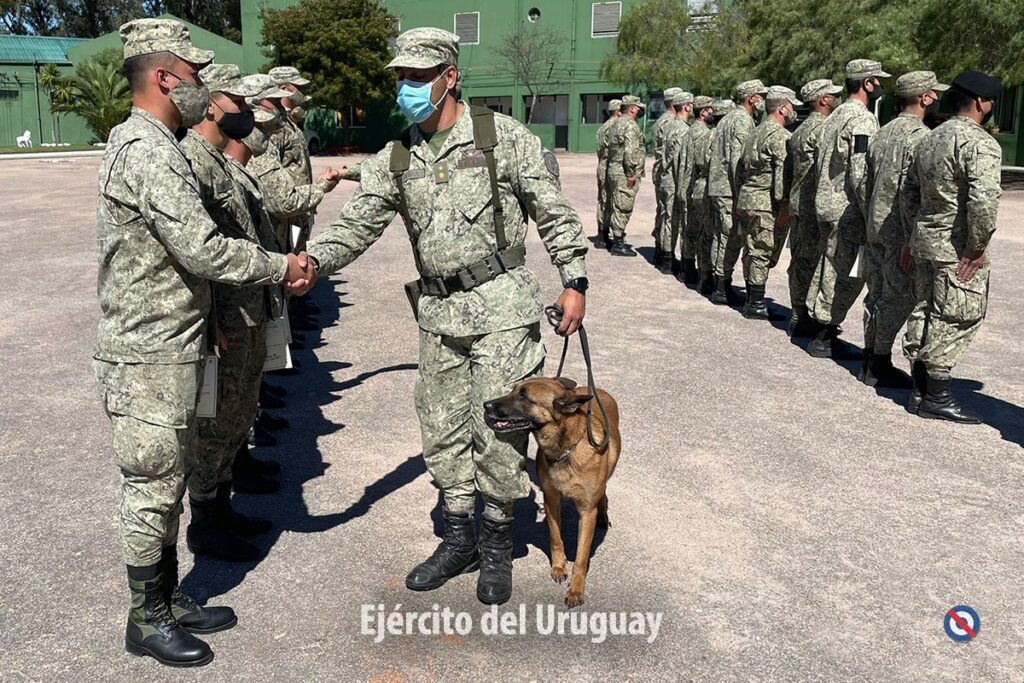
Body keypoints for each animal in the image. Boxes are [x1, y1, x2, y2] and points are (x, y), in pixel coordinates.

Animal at [484, 377, 620, 607]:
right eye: (513, 390)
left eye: (524, 396)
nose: (486, 404)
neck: (565, 449)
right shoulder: (550, 500)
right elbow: (556, 538)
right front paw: (558, 567)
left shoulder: (587, 512)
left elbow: (581, 557)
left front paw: (576, 589)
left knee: (604, 493)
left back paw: (603, 514)